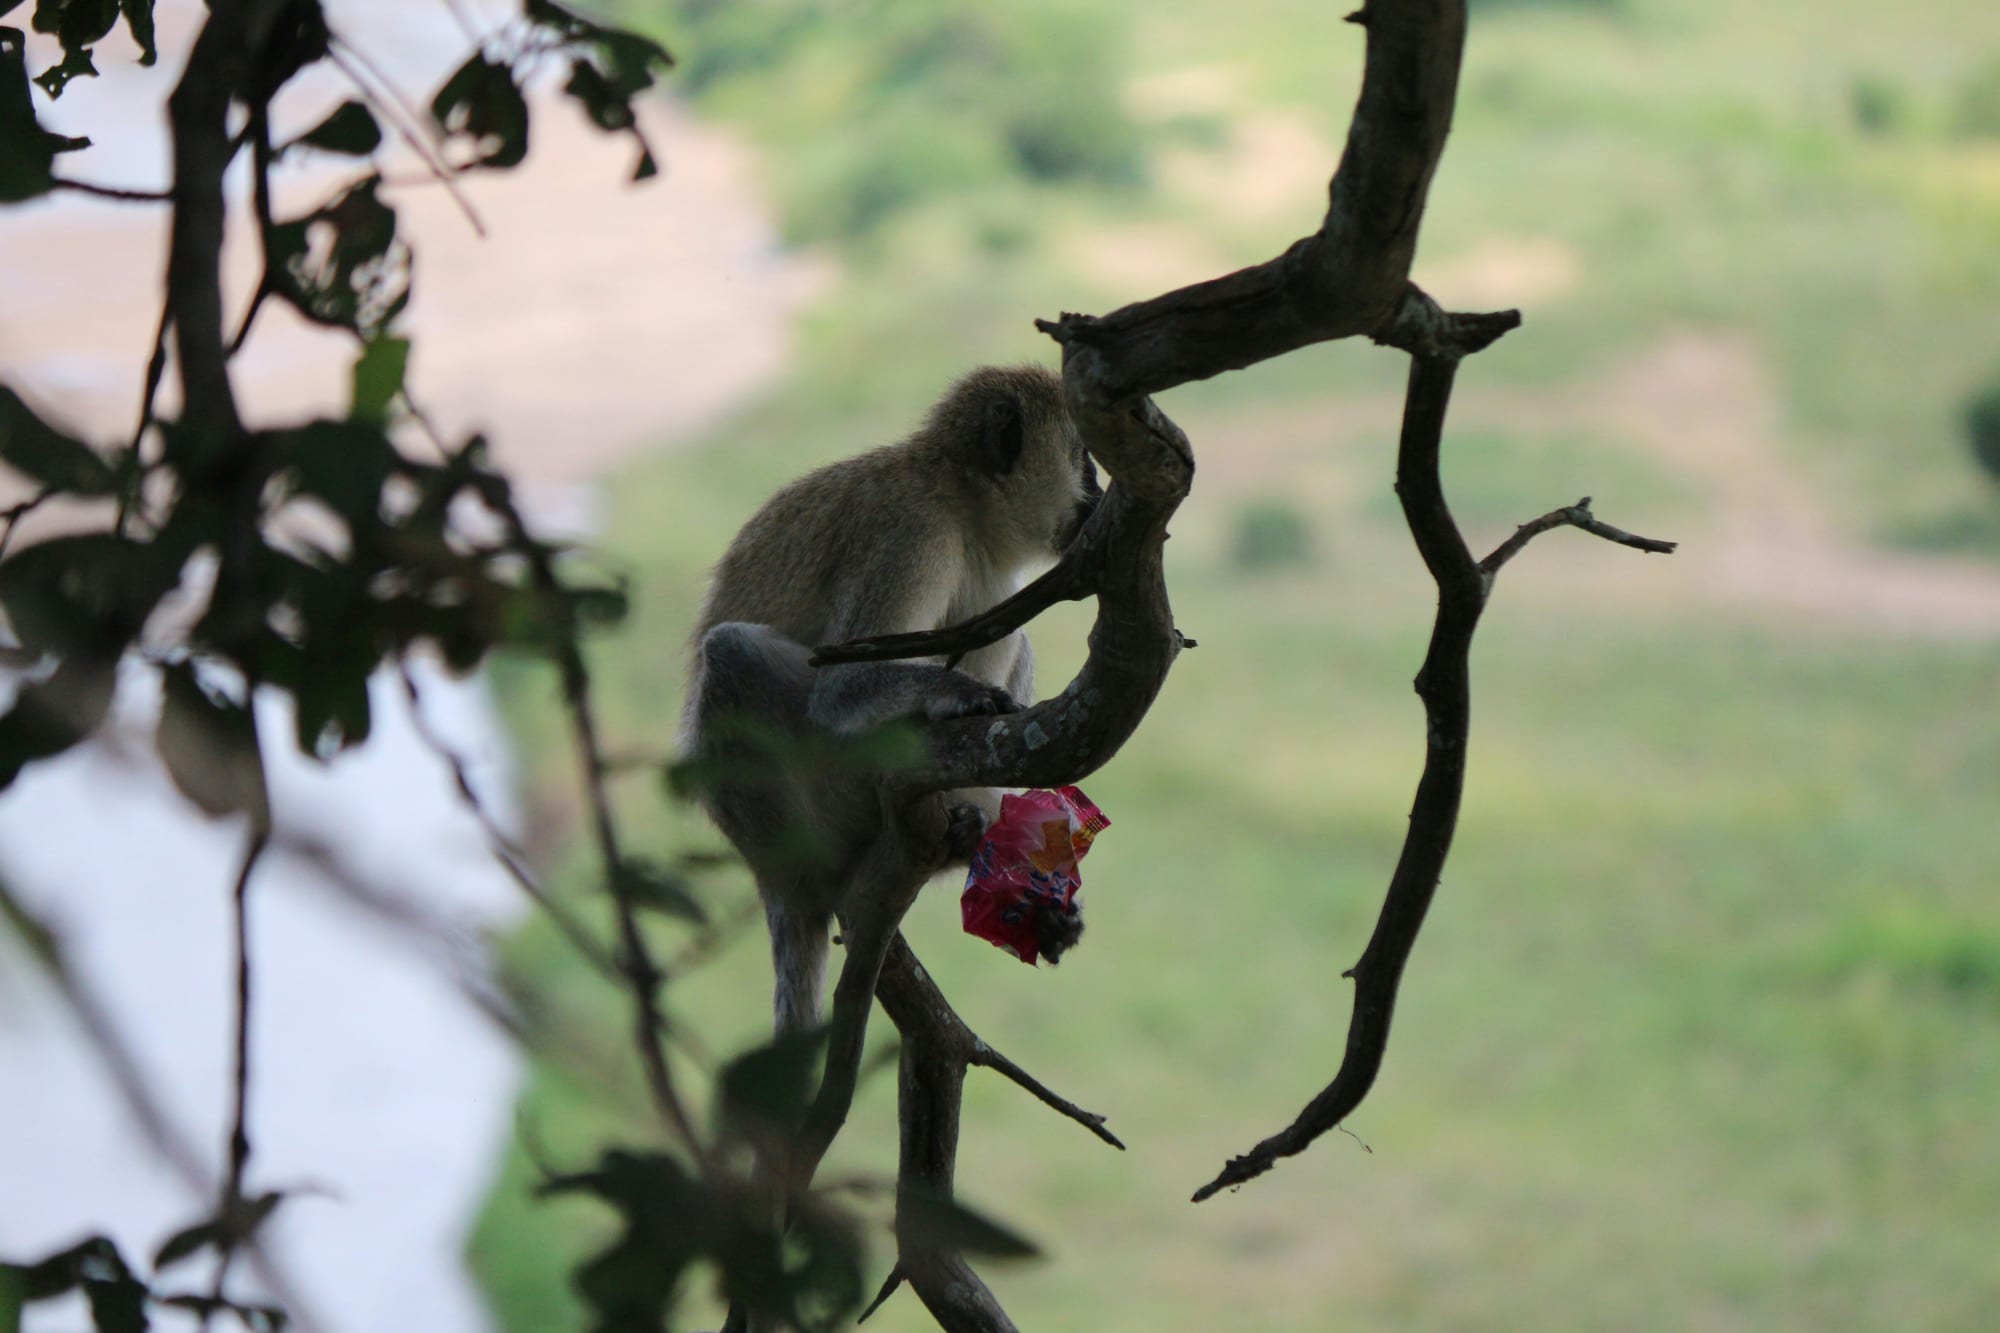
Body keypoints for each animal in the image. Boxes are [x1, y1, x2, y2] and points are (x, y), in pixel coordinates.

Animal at [682, 365, 1100, 1050]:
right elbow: (842, 687)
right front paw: (955, 698)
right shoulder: (910, 531)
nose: (1101, 492)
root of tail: (772, 873)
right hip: (823, 793)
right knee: (732, 652)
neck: (961, 504)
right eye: (1085, 457)